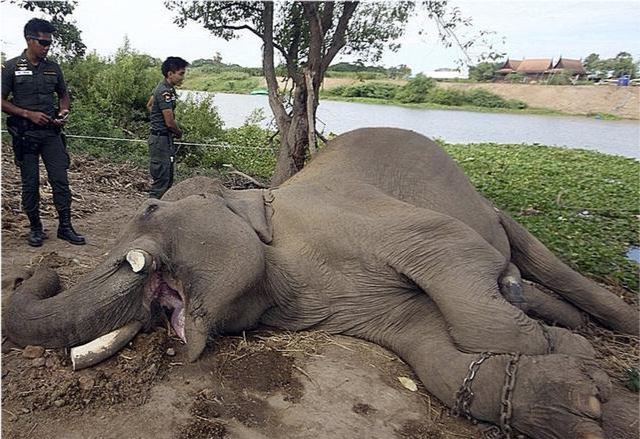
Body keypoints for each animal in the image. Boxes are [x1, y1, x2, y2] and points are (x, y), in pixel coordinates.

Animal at [1, 128, 640, 439]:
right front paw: (584, 393)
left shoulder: (346, 214)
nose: (36, 269)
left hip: (485, 208)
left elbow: (444, 246)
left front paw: (555, 347)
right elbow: (426, 346)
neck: (258, 201)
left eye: (151, 209)